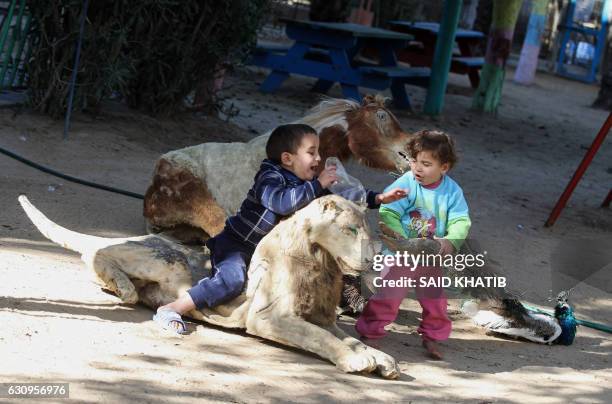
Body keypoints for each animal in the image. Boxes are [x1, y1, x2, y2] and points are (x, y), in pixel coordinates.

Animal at [19, 196, 440, 378]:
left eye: (366, 228)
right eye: (351, 229)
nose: (375, 257)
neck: (321, 265)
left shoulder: (322, 317)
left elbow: (349, 338)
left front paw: (379, 358)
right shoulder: (270, 318)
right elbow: (322, 341)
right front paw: (357, 361)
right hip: (162, 257)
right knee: (99, 255)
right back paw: (128, 288)